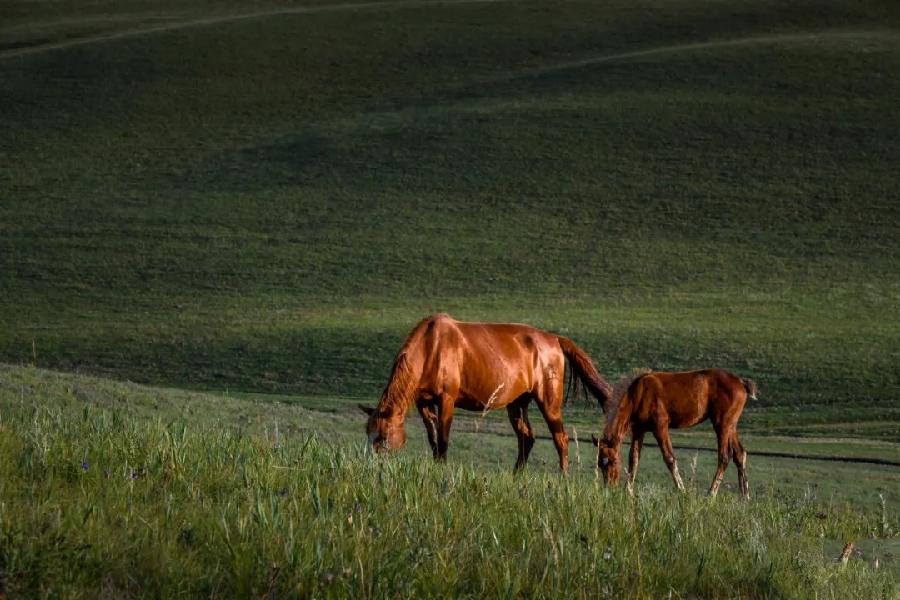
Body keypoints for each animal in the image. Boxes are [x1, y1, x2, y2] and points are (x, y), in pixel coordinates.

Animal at [358, 313, 613, 473]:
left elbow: (443, 439)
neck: (432, 347)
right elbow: (433, 440)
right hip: (517, 403)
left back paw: (563, 478)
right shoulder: (424, 402)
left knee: (561, 439)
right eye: (368, 433)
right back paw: (516, 477)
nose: (371, 466)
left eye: (382, 436)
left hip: (548, 403)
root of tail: (554, 340)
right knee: (526, 439)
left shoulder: (447, 400)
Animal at [592, 369, 757, 498]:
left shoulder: (660, 427)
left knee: (724, 456)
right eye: (600, 464)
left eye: (612, 461)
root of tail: (740, 382)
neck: (639, 394)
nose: (610, 488)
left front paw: (682, 490)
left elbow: (669, 458)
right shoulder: (639, 430)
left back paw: (711, 494)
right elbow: (634, 458)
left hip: (721, 425)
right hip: (731, 426)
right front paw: (629, 491)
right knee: (740, 454)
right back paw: (745, 497)